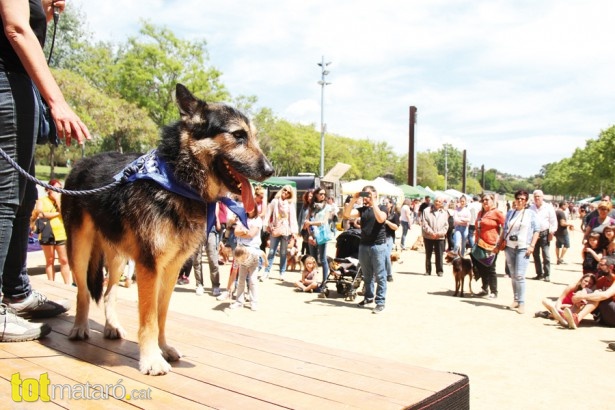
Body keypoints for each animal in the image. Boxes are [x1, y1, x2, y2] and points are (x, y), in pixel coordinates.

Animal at [63, 83, 274, 374]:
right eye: (238, 135)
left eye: (253, 136)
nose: (270, 170)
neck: (179, 180)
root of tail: (81, 162)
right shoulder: (149, 266)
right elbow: (149, 317)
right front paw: (152, 359)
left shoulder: (172, 267)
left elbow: (161, 314)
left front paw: (163, 348)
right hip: (80, 250)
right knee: (83, 291)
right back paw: (79, 327)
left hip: (116, 258)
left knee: (108, 293)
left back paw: (112, 326)